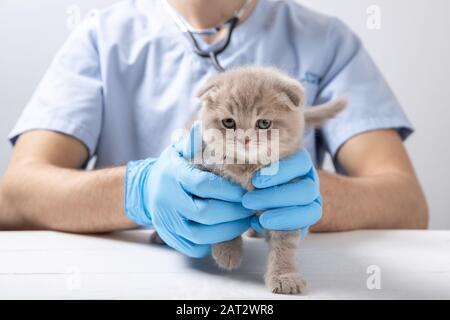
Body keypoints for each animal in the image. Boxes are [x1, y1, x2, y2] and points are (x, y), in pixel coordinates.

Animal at [151, 65, 344, 296]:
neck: (247, 167)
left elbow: (285, 244)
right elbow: (220, 222)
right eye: (228, 122)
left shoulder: (285, 205)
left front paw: (285, 276)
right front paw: (228, 251)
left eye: (263, 123)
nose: (244, 139)